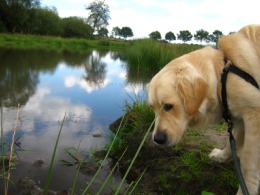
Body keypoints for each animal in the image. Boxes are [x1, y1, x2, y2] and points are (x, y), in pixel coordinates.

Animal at [147, 24, 260, 195]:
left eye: (168, 106)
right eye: (152, 108)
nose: (157, 139)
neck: (222, 74)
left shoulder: (254, 116)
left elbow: (248, 166)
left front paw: (246, 189)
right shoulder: (240, 118)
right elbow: (231, 142)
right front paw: (221, 156)